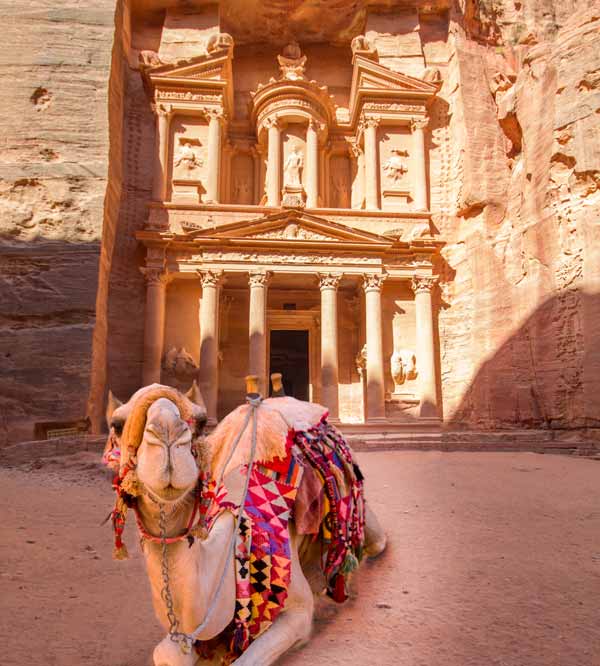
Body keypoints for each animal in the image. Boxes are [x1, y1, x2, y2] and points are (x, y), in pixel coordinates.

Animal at [105, 382, 386, 660]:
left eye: (201, 420)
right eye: (116, 424)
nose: (167, 432)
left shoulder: (298, 610)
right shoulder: (187, 631)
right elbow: (164, 651)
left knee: (376, 542)